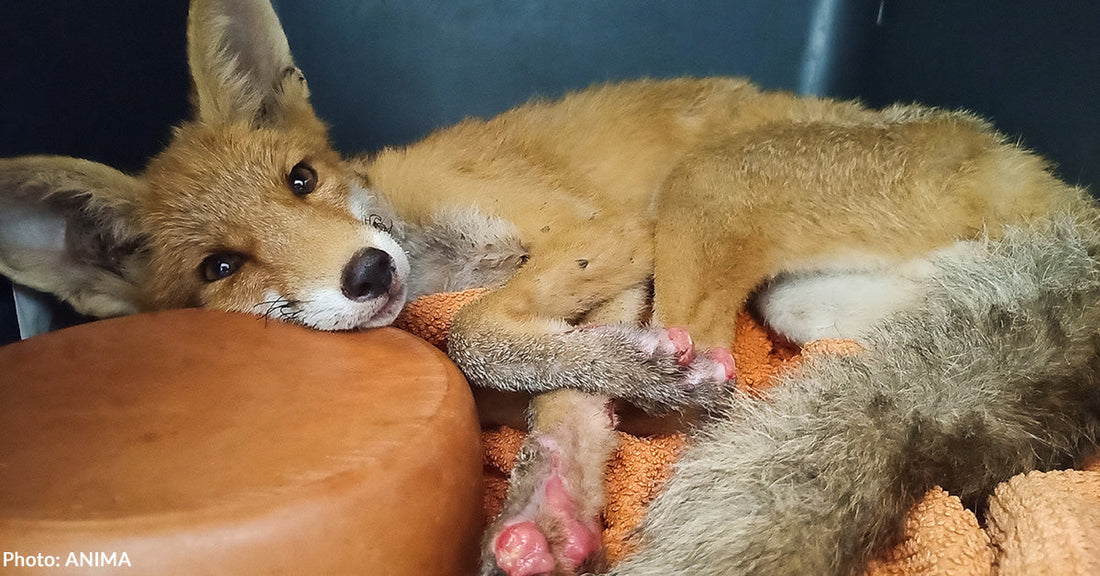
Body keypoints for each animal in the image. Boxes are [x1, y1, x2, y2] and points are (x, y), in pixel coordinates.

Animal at [2, 0, 1099, 575]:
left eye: (300, 181)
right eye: (219, 268)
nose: (367, 274)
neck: (438, 257)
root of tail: (1053, 185)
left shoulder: (604, 235)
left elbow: (478, 339)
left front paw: (606, 426)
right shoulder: (607, 283)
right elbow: (557, 390)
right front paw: (554, 503)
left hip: (706, 190)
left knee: (707, 370)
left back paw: (694, 392)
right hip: (798, 299)